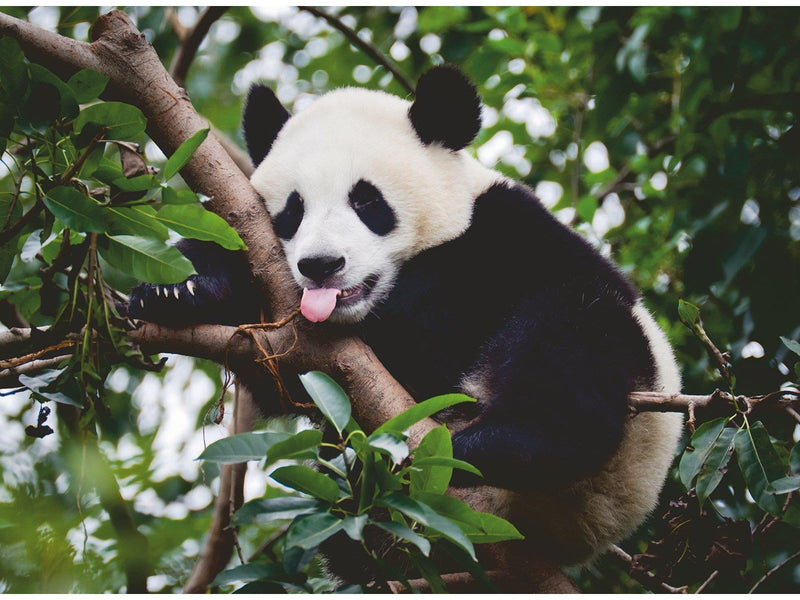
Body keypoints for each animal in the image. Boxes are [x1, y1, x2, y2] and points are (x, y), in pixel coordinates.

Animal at [129, 65, 683, 567]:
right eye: (292, 210)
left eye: (367, 201)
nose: (322, 265)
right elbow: (279, 375)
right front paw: (177, 288)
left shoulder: (506, 240)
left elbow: (429, 330)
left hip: (622, 441)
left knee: (572, 339)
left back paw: (488, 446)